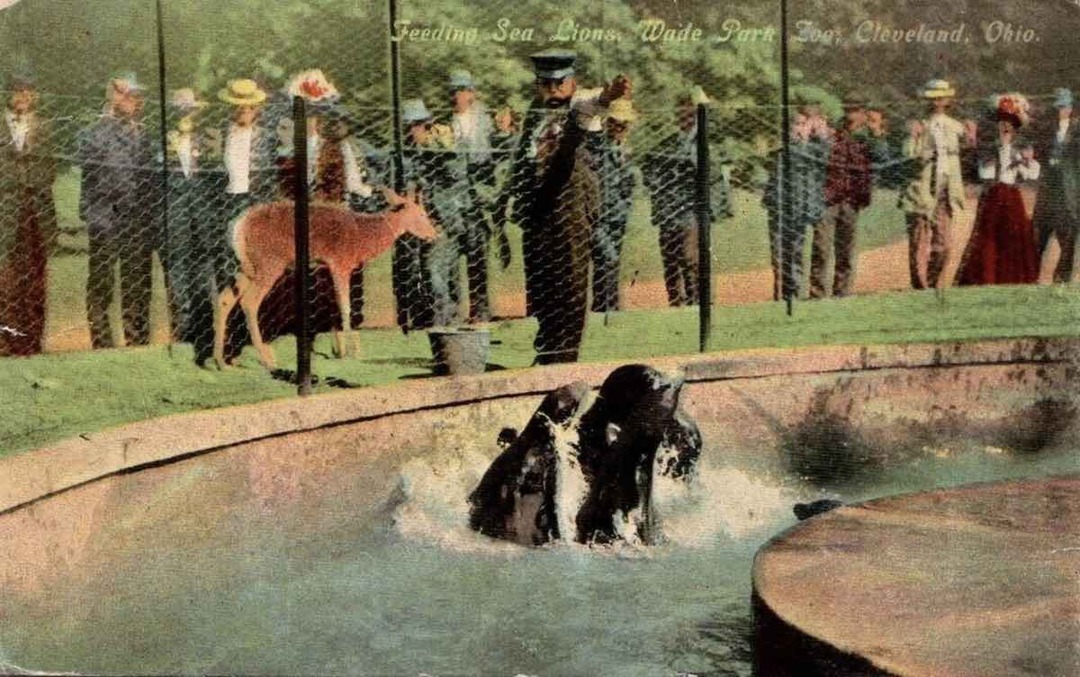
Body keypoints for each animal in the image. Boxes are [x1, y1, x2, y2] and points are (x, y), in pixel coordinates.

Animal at [214, 186, 438, 371]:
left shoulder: (326, 267)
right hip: (269, 262)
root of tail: (238, 226)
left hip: (247, 266)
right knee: (249, 301)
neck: (363, 240)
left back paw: (221, 362)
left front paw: (339, 350)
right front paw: (351, 352)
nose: (434, 234)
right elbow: (346, 306)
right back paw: (267, 359)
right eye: (421, 214)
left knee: (225, 298)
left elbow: (335, 306)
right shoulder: (341, 262)